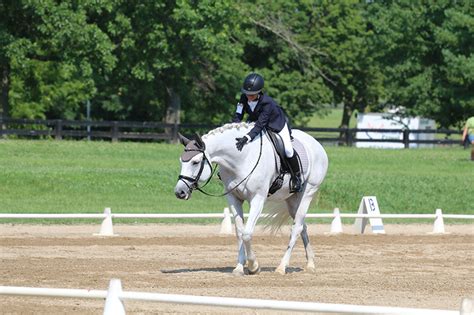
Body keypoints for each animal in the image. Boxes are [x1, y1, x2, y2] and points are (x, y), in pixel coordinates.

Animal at [176, 123, 328, 276]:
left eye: (195, 162)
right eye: (181, 162)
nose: (179, 192)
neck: (242, 159)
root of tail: (316, 143)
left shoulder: (257, 199)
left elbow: (247, 233)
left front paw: (254, 266)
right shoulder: (233, 198)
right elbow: (240, 232)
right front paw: (239, 267)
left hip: (307, 193)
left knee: (296, 227)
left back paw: (281, 267)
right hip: (291, 199)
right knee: (302, 225)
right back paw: (310, 264)